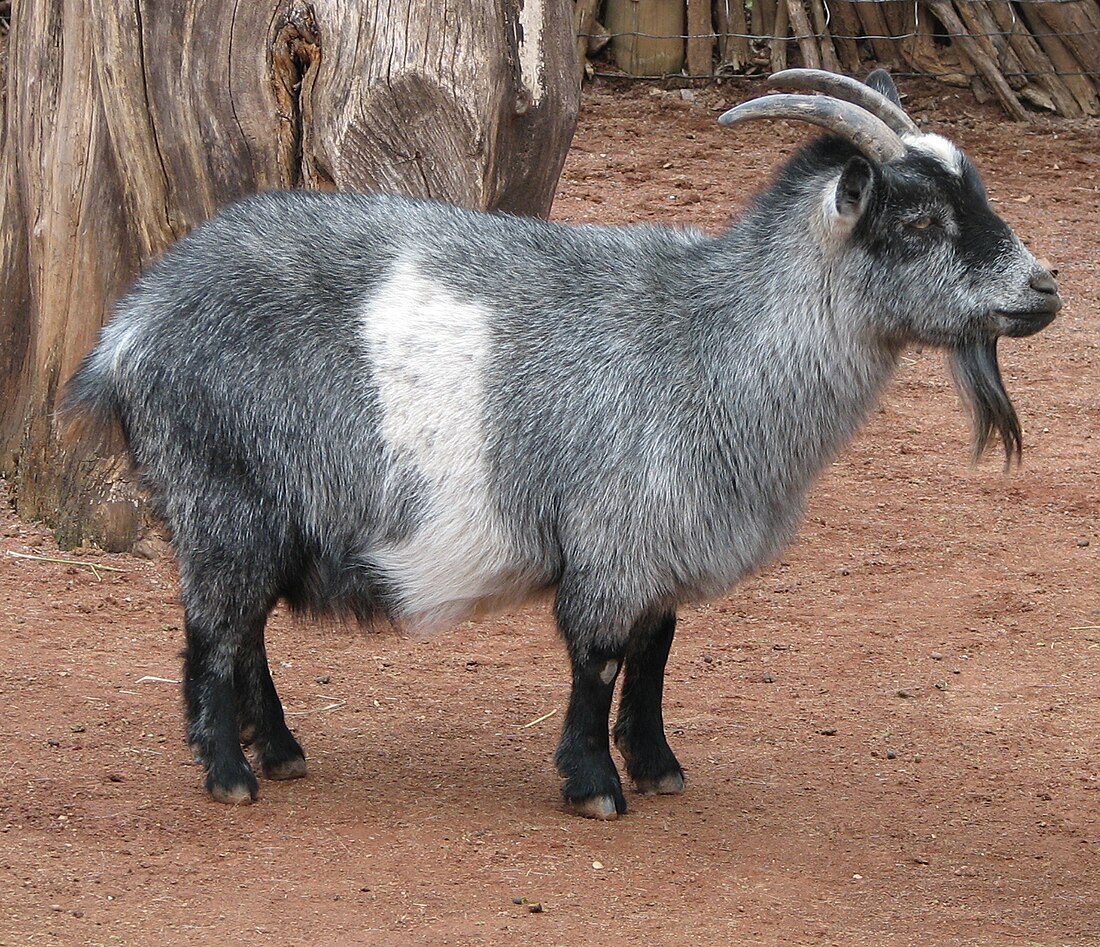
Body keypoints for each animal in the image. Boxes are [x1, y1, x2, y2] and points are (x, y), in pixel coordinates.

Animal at [66, 70, 1056, 818]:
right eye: (918, 221)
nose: (1044, 287)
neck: (710, 340)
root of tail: (130, 330)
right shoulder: (615, 536)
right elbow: (600, 658)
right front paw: (594, 785)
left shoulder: (663, 545)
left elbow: (656, 653)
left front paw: (658, 766)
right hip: (220, 497)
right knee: (214, 629)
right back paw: (229, 772)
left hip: (262, 514)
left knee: (248, 628)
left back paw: (279, 750)